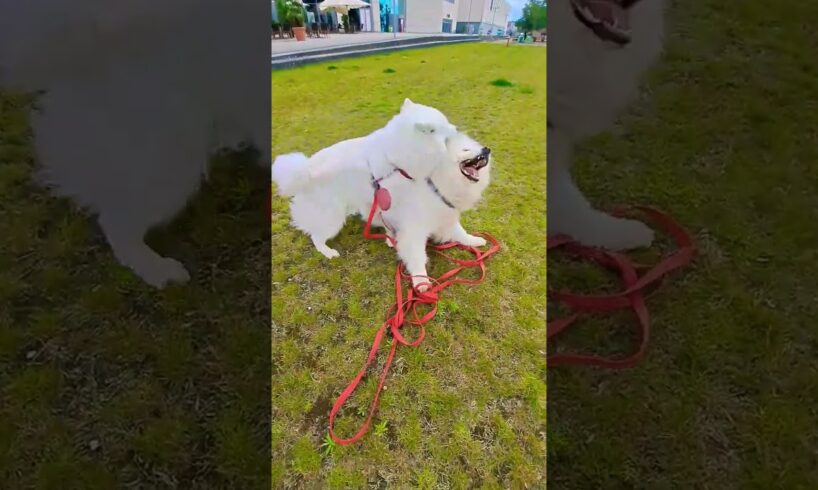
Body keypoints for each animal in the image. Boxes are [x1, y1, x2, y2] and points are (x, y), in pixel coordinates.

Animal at [272, 100, 490, 290]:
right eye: (442, 129)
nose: (486, 150)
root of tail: (304, 172)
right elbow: (417, 255)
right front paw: (421, 282)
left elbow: (459, 232)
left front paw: (473, 241)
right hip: (332, 218)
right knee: (316, 236)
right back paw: (328, 251)